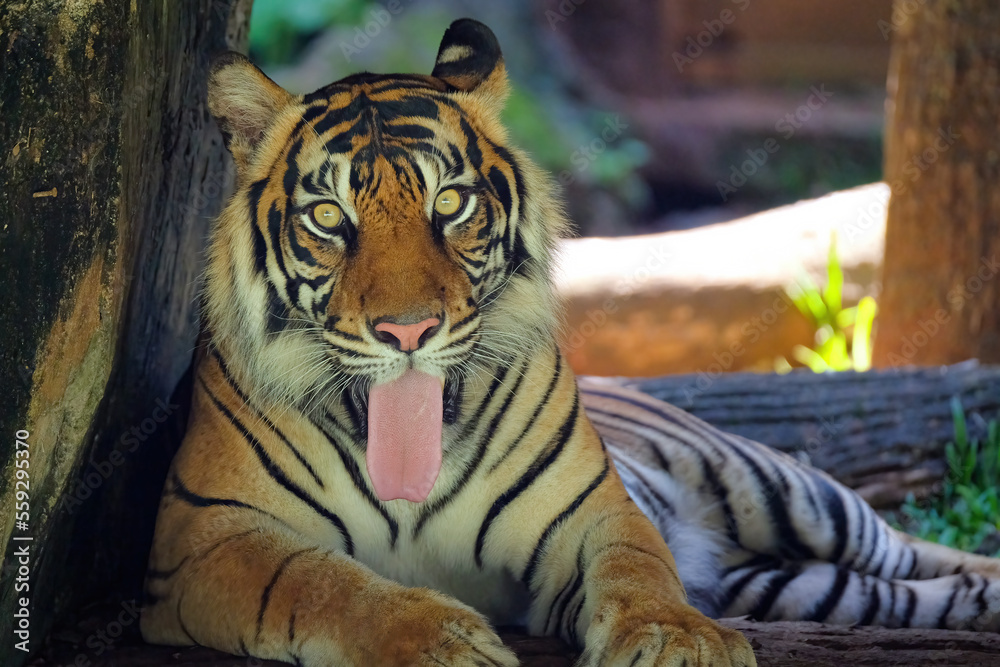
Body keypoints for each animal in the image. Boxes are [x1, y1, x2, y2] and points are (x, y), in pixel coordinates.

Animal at [140, 17, 1000, 667]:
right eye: (328, 217)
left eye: (449, 203)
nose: (408, 330)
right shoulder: (204, 537)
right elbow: (321, 581)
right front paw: (442, 642)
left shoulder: (591, 509)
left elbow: (637, 564)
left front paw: (678, 640)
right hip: (790, 580)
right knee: (909, 590)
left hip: (790, 494)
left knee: (917, 548)